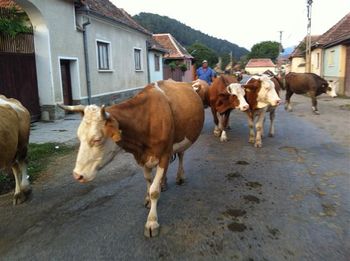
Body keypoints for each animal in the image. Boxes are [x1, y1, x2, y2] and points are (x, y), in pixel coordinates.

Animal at [58, 80, 204, 237]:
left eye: (97, 139)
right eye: (79, 137)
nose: (77, 175)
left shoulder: (164, 154)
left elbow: (154, 191)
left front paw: (152, 222)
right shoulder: (141, 157)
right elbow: (149, 181)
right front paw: (148, 199)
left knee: (181, 154)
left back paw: (180, 177)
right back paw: (164, 183)